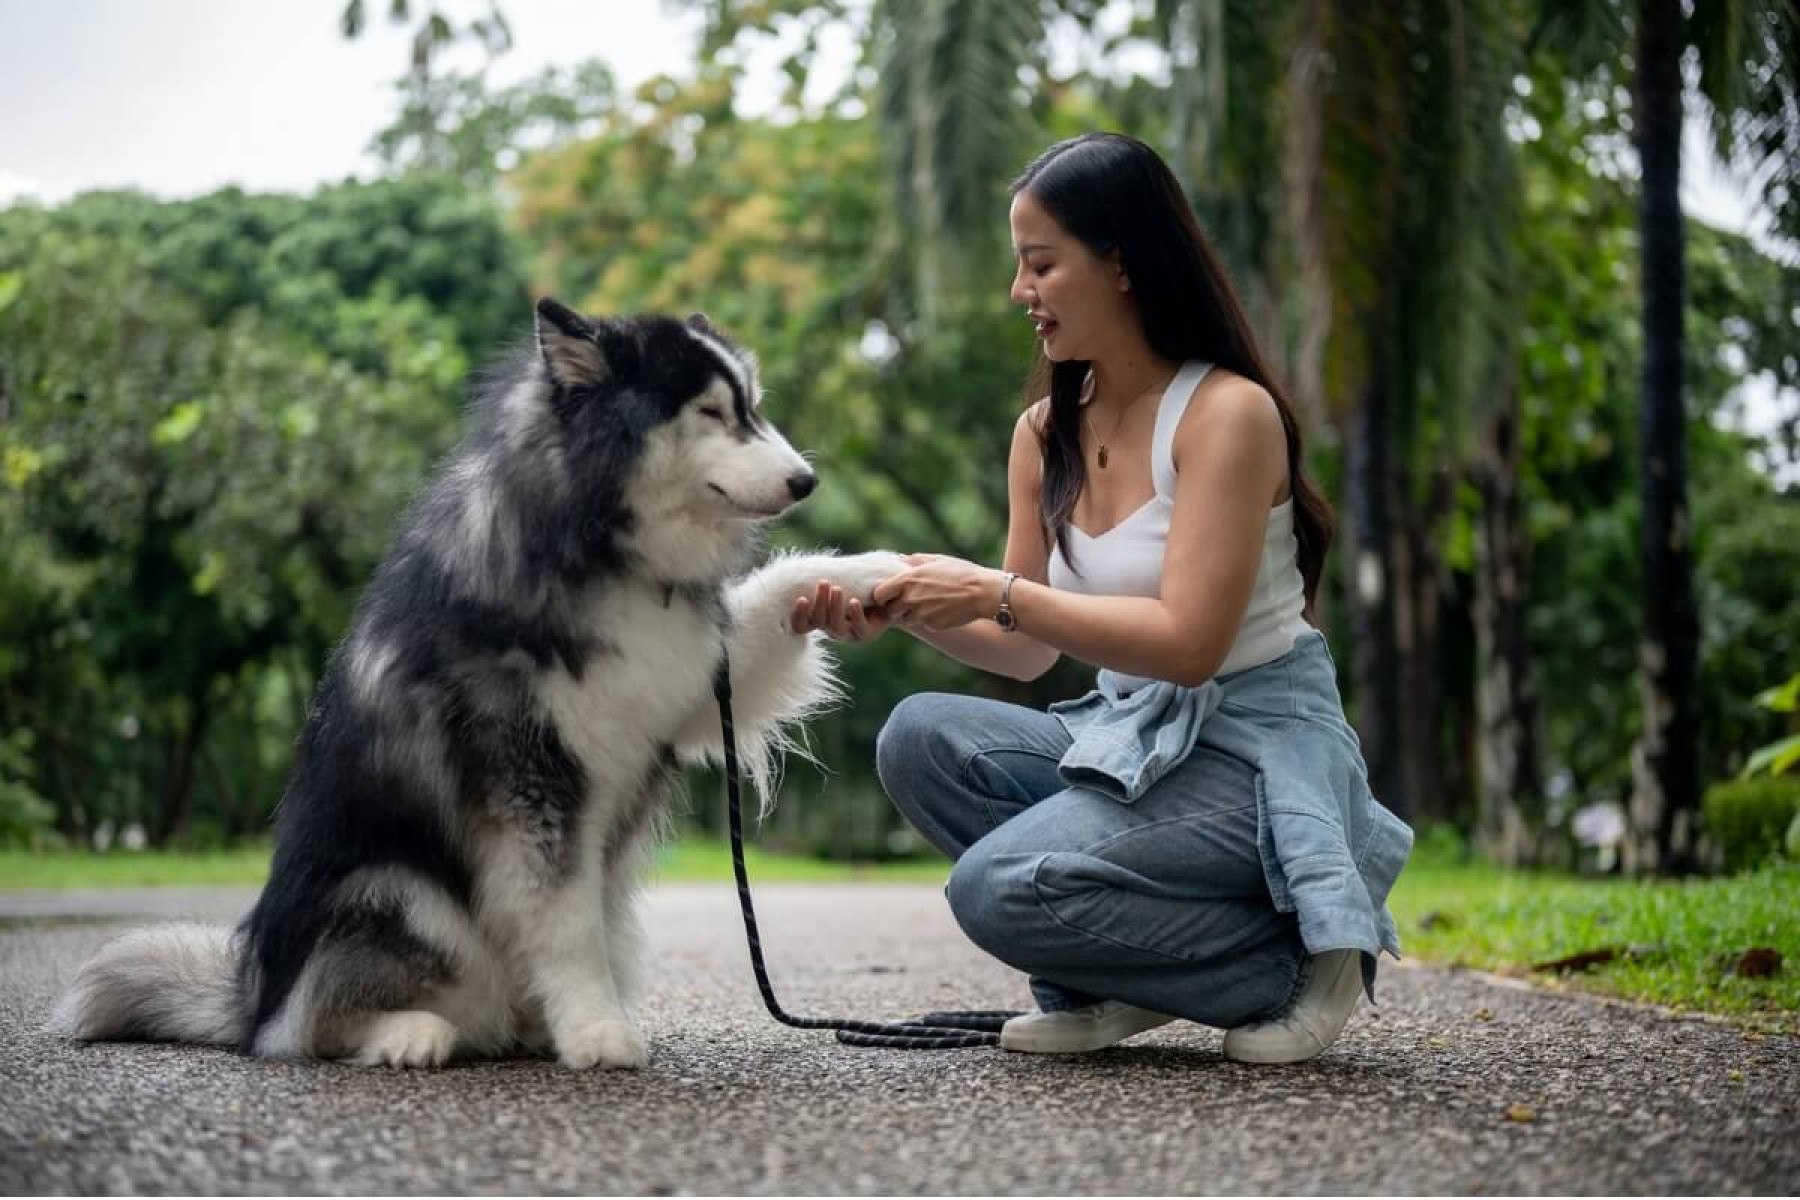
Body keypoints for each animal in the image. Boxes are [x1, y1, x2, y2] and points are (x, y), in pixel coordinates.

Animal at [56, 300, 907, 1072]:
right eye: (710, 412)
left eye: (752, 407)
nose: (806, 480)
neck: (600, 551)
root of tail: (250, 992)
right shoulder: (529, 780)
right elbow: (567, 925)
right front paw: (597, 1033)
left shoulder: (694, 688)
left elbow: (784, 585)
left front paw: (880, 573)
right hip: (395, 891)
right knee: (303, 1027)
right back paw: (410, 1033)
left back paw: (525, 1026)